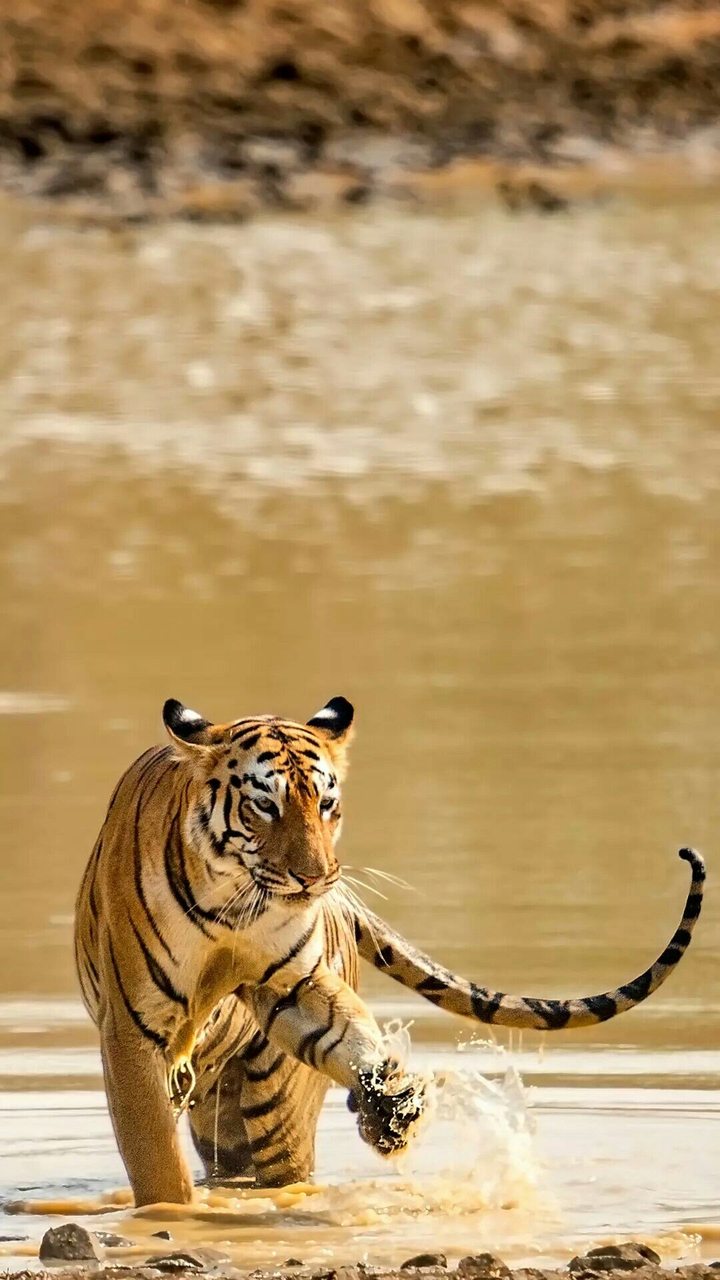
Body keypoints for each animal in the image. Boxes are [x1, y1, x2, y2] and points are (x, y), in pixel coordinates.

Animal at [74, 695, 705, 1208]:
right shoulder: (132, 1030)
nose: (317, 878)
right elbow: (157, 1163)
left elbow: (347, 1032)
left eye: (326, 803)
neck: (233, 905)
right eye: (265, 806)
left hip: (271, 1105)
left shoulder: (292, 984)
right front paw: (172, 1216)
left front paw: (392, 1103)